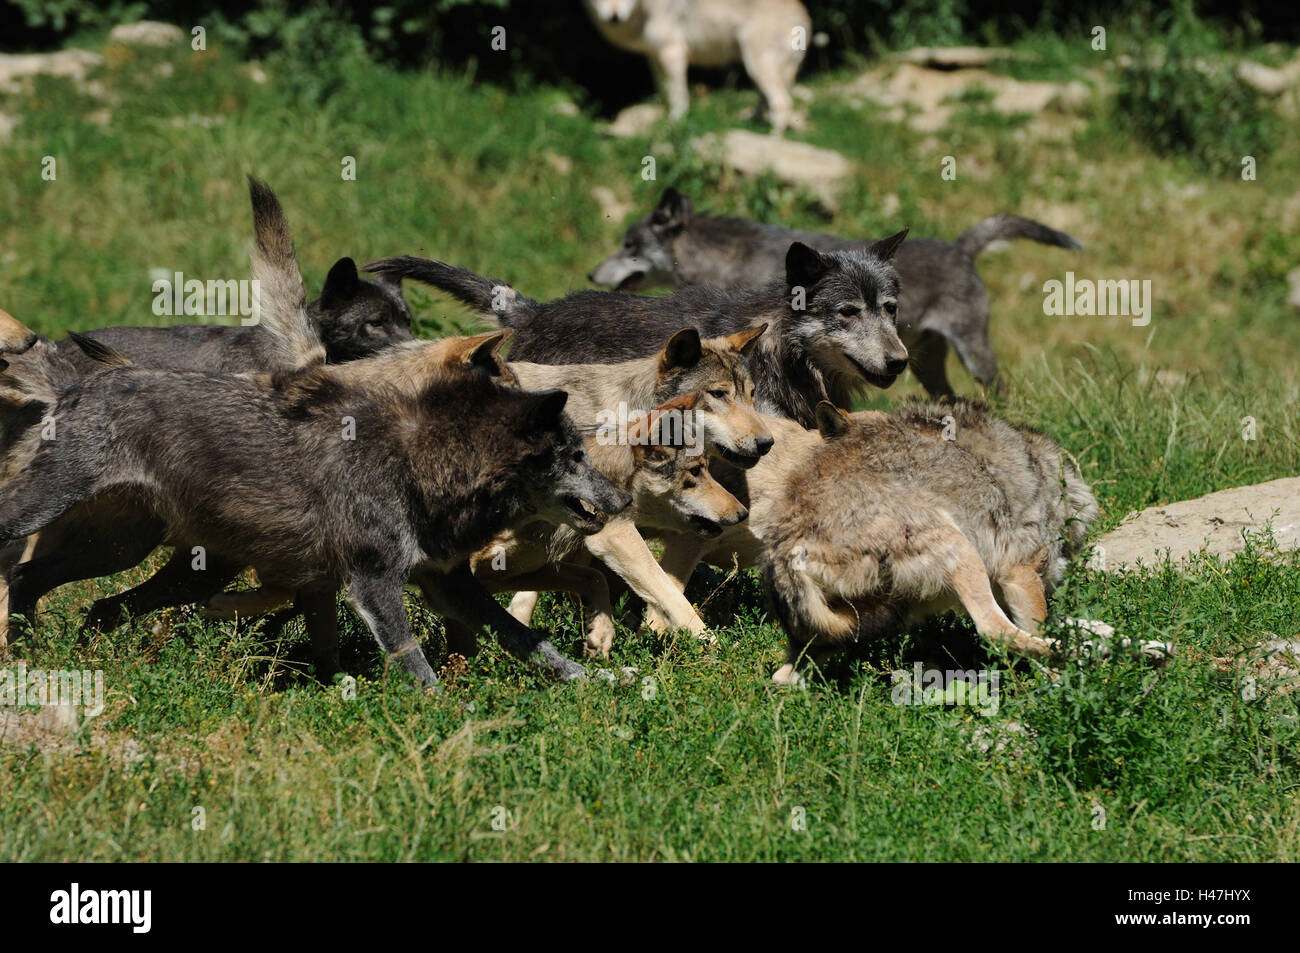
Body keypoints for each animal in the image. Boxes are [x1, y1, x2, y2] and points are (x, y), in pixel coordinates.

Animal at [582, 0, 811, 134]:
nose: (614, 16)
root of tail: (805, 16)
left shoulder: (673, 53)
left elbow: (678, 96)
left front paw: (675, 121)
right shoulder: (653, 57)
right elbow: (663, 90)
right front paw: (662, 114)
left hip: (757, 65)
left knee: (782, 102)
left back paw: (773, 140)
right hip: (756, 69)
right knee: (765, 100)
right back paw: (751, 123)